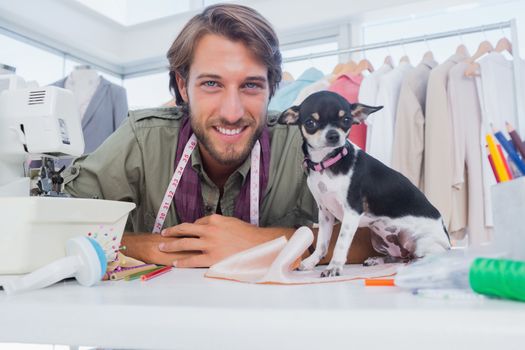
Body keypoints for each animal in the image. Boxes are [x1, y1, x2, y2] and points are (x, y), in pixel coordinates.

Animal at [278, 91, 450, 278]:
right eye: (310, 123)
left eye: (346, 120)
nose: (333, 135)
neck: (328, 162)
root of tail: (448, 242)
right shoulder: (325, 213)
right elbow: (322, 244)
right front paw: (311, 262)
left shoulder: (352, 212)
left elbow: (340, 244)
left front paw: (334, 267)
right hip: (379, 240)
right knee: (400, 257)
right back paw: (378, 260)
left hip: (420, 242)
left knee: (421, 258)